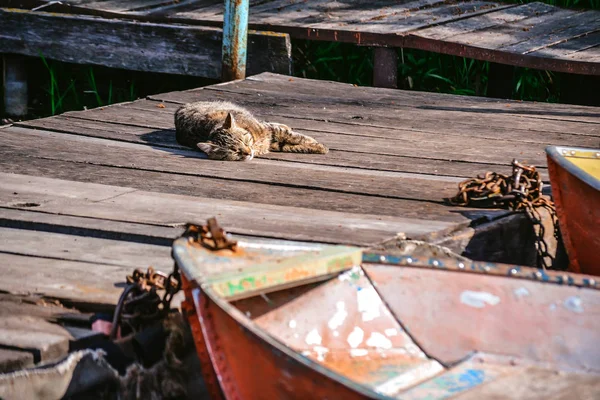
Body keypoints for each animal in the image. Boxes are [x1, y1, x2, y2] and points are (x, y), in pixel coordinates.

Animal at [173, 100, 328, 161]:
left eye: (244, 141)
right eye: (235, 151)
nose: (248, 152)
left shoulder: (270, 131)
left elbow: (296, 137)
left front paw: (319, 146)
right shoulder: (272, 142)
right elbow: (291, 146)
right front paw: (317, 147)